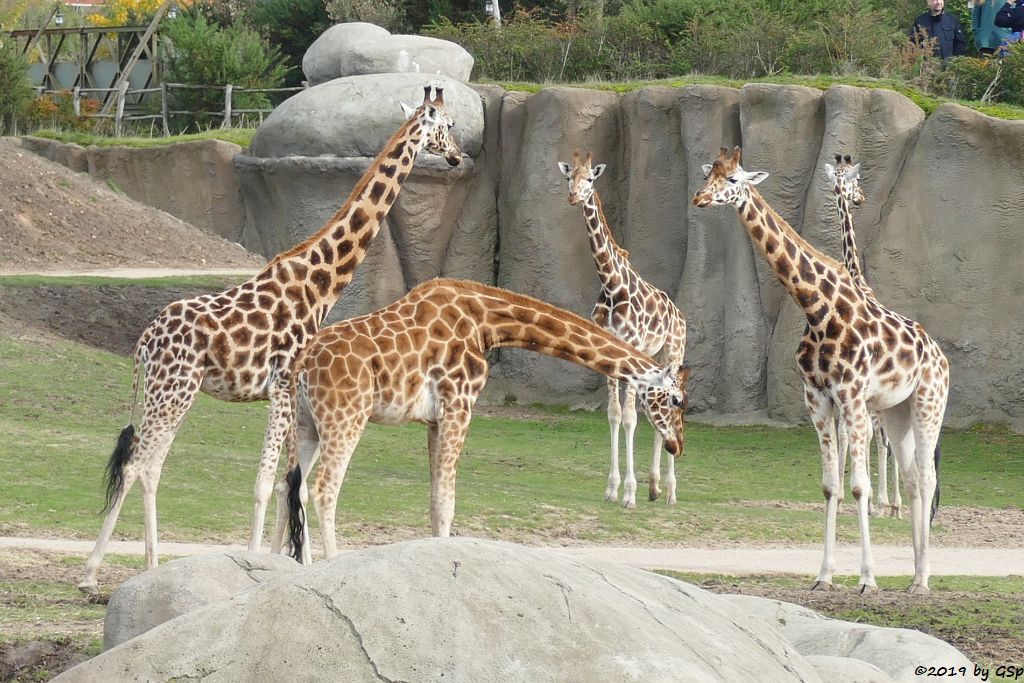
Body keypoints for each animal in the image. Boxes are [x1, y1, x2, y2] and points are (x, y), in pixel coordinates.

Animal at [77, 85, 462, 593]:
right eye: (448, 126)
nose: (458, 157)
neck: (320, 282)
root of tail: (143, 341)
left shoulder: (288, 396)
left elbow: (286, 481)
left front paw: (286, 561)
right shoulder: (283, 386)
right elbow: (269, 482)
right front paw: (259, 560)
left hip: (173, 393)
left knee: (151, 467)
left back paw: (152, 566)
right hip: (172, 392)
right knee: (136, 464)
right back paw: (90, 575)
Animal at [270, 278, 688, 565]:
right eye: (678, 400)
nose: (678, 445)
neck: (488, 321)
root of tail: (302, 365)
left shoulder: (435, 419)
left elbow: (436, 500)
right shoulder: (459, 406)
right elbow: (446, 502)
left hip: (304, 424)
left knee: (288, 486)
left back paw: (276, 563)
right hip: (345, 417)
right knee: (324, 488)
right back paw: (330, 564)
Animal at [557, 153, 684, 507]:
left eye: (590, 179)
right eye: (569, 177)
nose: (574, 197)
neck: (612, 285)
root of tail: (679, 315)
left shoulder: (630, 351)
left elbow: (630, 417)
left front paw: (629, 493)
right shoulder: (609, 356)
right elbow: (615, 415)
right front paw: (612, 488)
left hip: (674, 353)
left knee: (672, 405)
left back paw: (670, 491)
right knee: (657, 407)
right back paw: (655, 487)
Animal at [692, 148, 946, 593]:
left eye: (735, 179)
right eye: (710, 174)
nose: (700, 198)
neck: (817, 309)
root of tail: (941, 356)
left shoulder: (852, 398)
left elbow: (858, 486)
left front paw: (867, 579)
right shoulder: (817, 399)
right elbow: (830, 486)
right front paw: (824, 576)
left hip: (928, 404)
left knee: (928, 477)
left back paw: (923, 580)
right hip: (897, 411)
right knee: (915, 478)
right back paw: (915, 575)